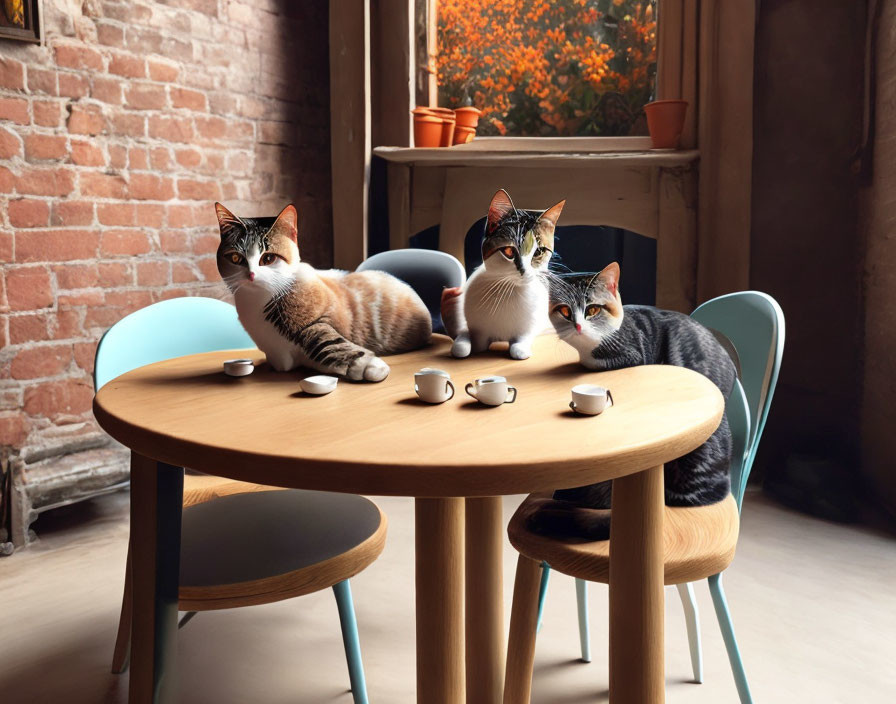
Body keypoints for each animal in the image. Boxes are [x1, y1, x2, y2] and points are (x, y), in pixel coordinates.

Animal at [214, 201, 430, 382]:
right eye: (236, 258)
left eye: (268, 258)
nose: (251, 274)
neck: (257, 302)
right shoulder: (276, 353)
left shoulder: (319, 320)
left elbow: (324, 340)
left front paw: (370, 366)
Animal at [448, 190, 568, 360]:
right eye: (509, 251)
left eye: (538, 251)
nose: (524, 270)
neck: (509, 290)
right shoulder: (477, 330)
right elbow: (465, 345)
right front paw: (465, 346)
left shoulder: (528, 327)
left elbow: (519, 346)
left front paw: (520, 349)